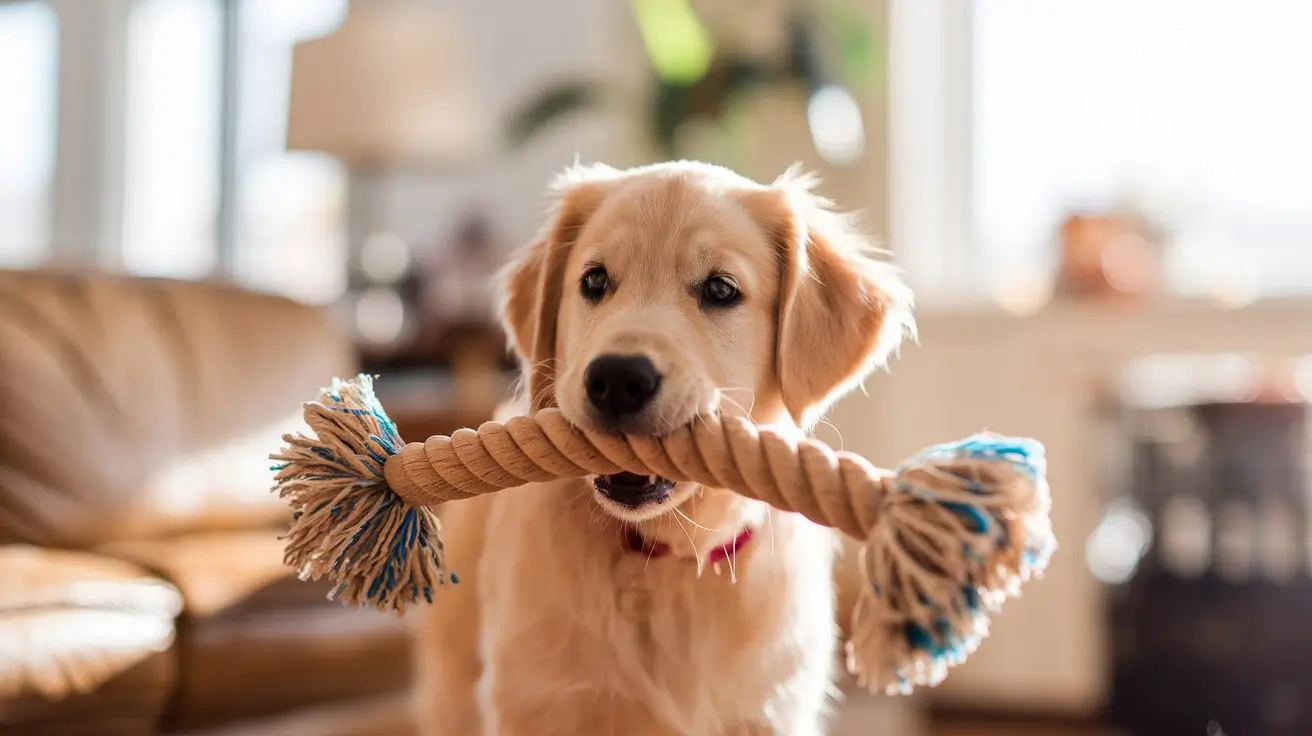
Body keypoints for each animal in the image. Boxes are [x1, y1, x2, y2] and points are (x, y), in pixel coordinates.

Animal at [411, 160, 913, 734]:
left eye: (721, 289)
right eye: (594, 280)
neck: (667, 555)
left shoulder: (769, 708)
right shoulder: (540, 700)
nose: (616, 379)